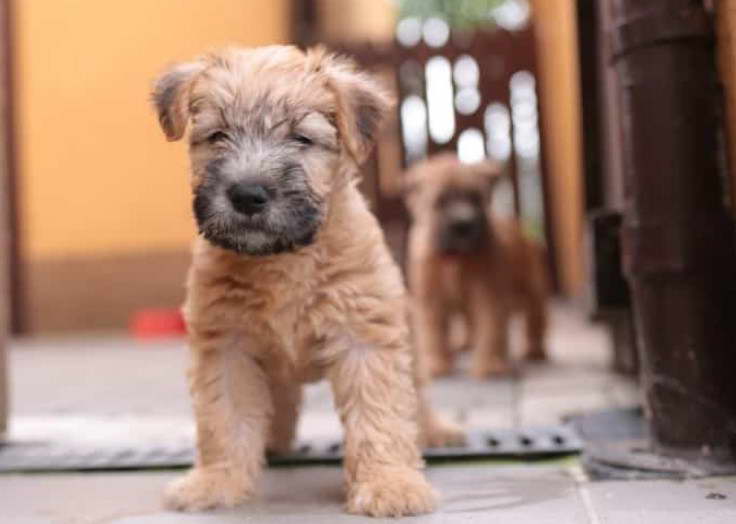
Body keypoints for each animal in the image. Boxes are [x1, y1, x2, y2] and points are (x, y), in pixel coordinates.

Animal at [150, 46, 460, 520]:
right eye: (217, 135)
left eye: (301, 139)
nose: (248, 194)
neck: (283, 259)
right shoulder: (226, 346)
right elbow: (224, 417)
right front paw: (217, 482)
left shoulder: (364, 338)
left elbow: (380, 415)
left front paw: (388, 484)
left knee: (418, 398)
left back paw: (437, 431)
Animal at [402, 154, 548, 378]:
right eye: (441, 200)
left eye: (475, 198)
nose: (463, 225)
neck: (456, 259)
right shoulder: (430, 297)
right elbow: (433, 332)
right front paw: (436, 364)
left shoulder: (489, 293)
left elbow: (492, 327)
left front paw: (492, 365)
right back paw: (465, 343)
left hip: (532, 288)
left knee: (535, 319)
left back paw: (535, 351)